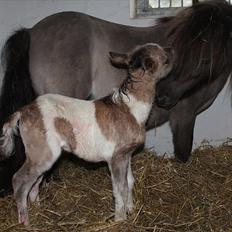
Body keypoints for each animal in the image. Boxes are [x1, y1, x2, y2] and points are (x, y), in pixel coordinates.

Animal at [0, 43, 172, 225]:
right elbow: (119, 189)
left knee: (34, 182)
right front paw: (120, 219)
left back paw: (38, 209)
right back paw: (25, 221)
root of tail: (23, 111)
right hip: (42, 151)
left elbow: (130, 182)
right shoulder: (116, 157)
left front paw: (131, 210)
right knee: (19, 179)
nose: (171, 49)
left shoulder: (127, 154)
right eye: (166, 60)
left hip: (45, 155)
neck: (130, 109)